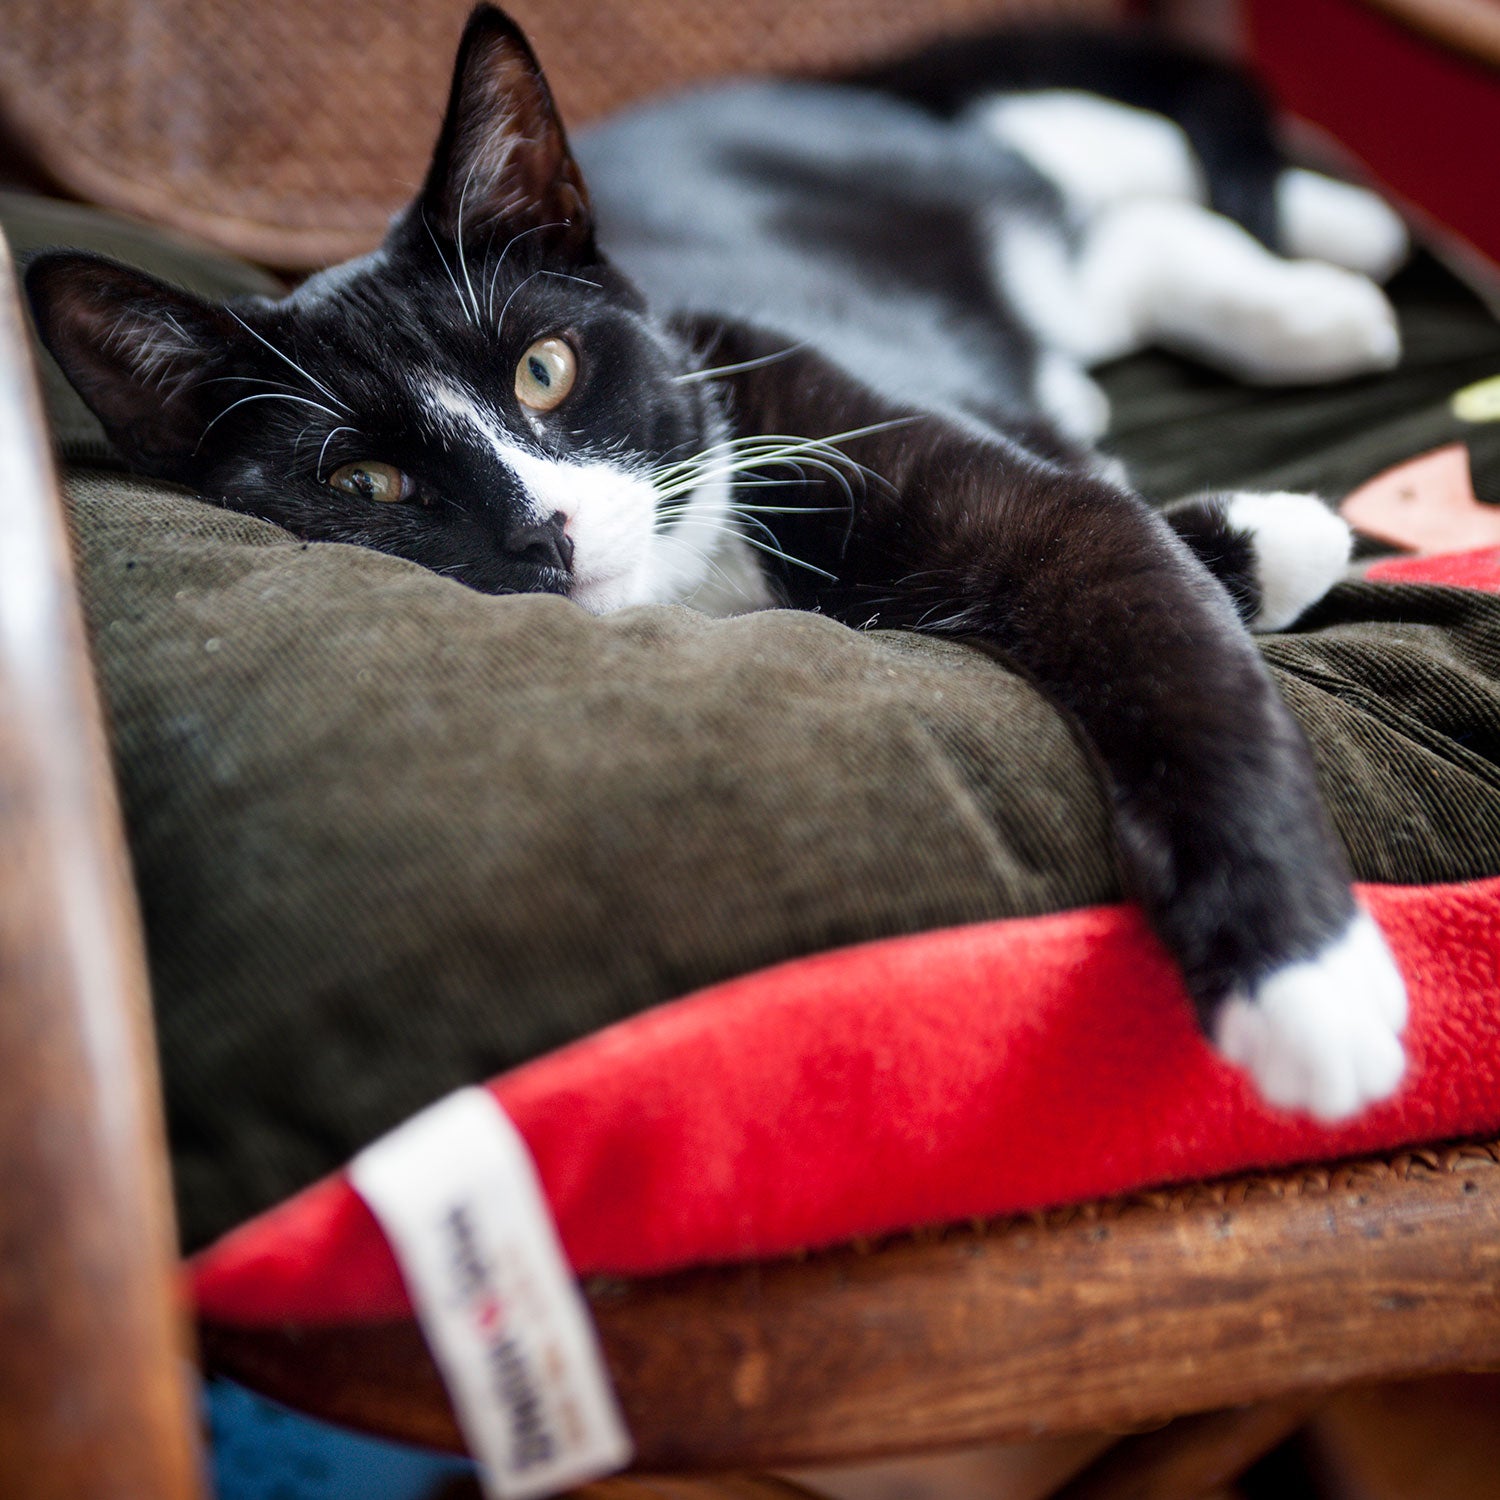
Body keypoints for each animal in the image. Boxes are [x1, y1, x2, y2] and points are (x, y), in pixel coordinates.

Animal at [23, 8, 1410, 1116]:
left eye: (544, 368)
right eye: (363, 486)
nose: (545, 529)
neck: (705, 581)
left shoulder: (823, 403)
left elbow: (1150, 617)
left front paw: (1307, 984)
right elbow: (1116, 541)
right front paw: (1268, 534)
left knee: (1080, 173)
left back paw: (1339, 257)